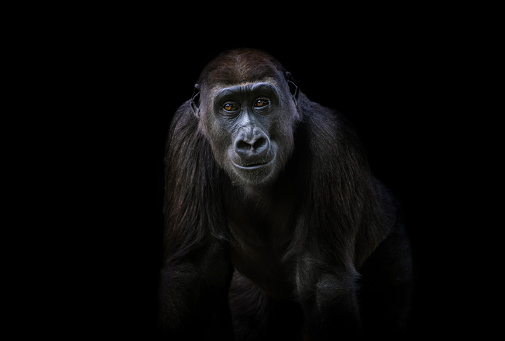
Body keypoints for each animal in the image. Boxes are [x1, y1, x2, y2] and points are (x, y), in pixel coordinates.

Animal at [159, 48, 412, 340]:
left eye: (261, 102)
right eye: (229, 107)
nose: (251, 141)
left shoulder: (332, 138)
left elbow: (323, 281)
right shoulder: (185, 131)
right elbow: (194, 269)